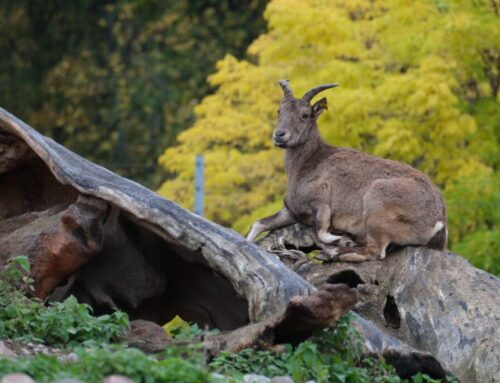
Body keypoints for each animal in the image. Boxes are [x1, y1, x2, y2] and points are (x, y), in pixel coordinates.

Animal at [248, 79, 448, 262]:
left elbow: (322, 231)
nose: (279, 135)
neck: (309, 162)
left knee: (376, 251)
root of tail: (439, 220)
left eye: (305, 115)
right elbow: (258, 224)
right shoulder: (292, 210)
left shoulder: (322, 203)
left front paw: (342, 239)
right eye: (279, 111)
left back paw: (332, 252)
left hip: (376, 204)